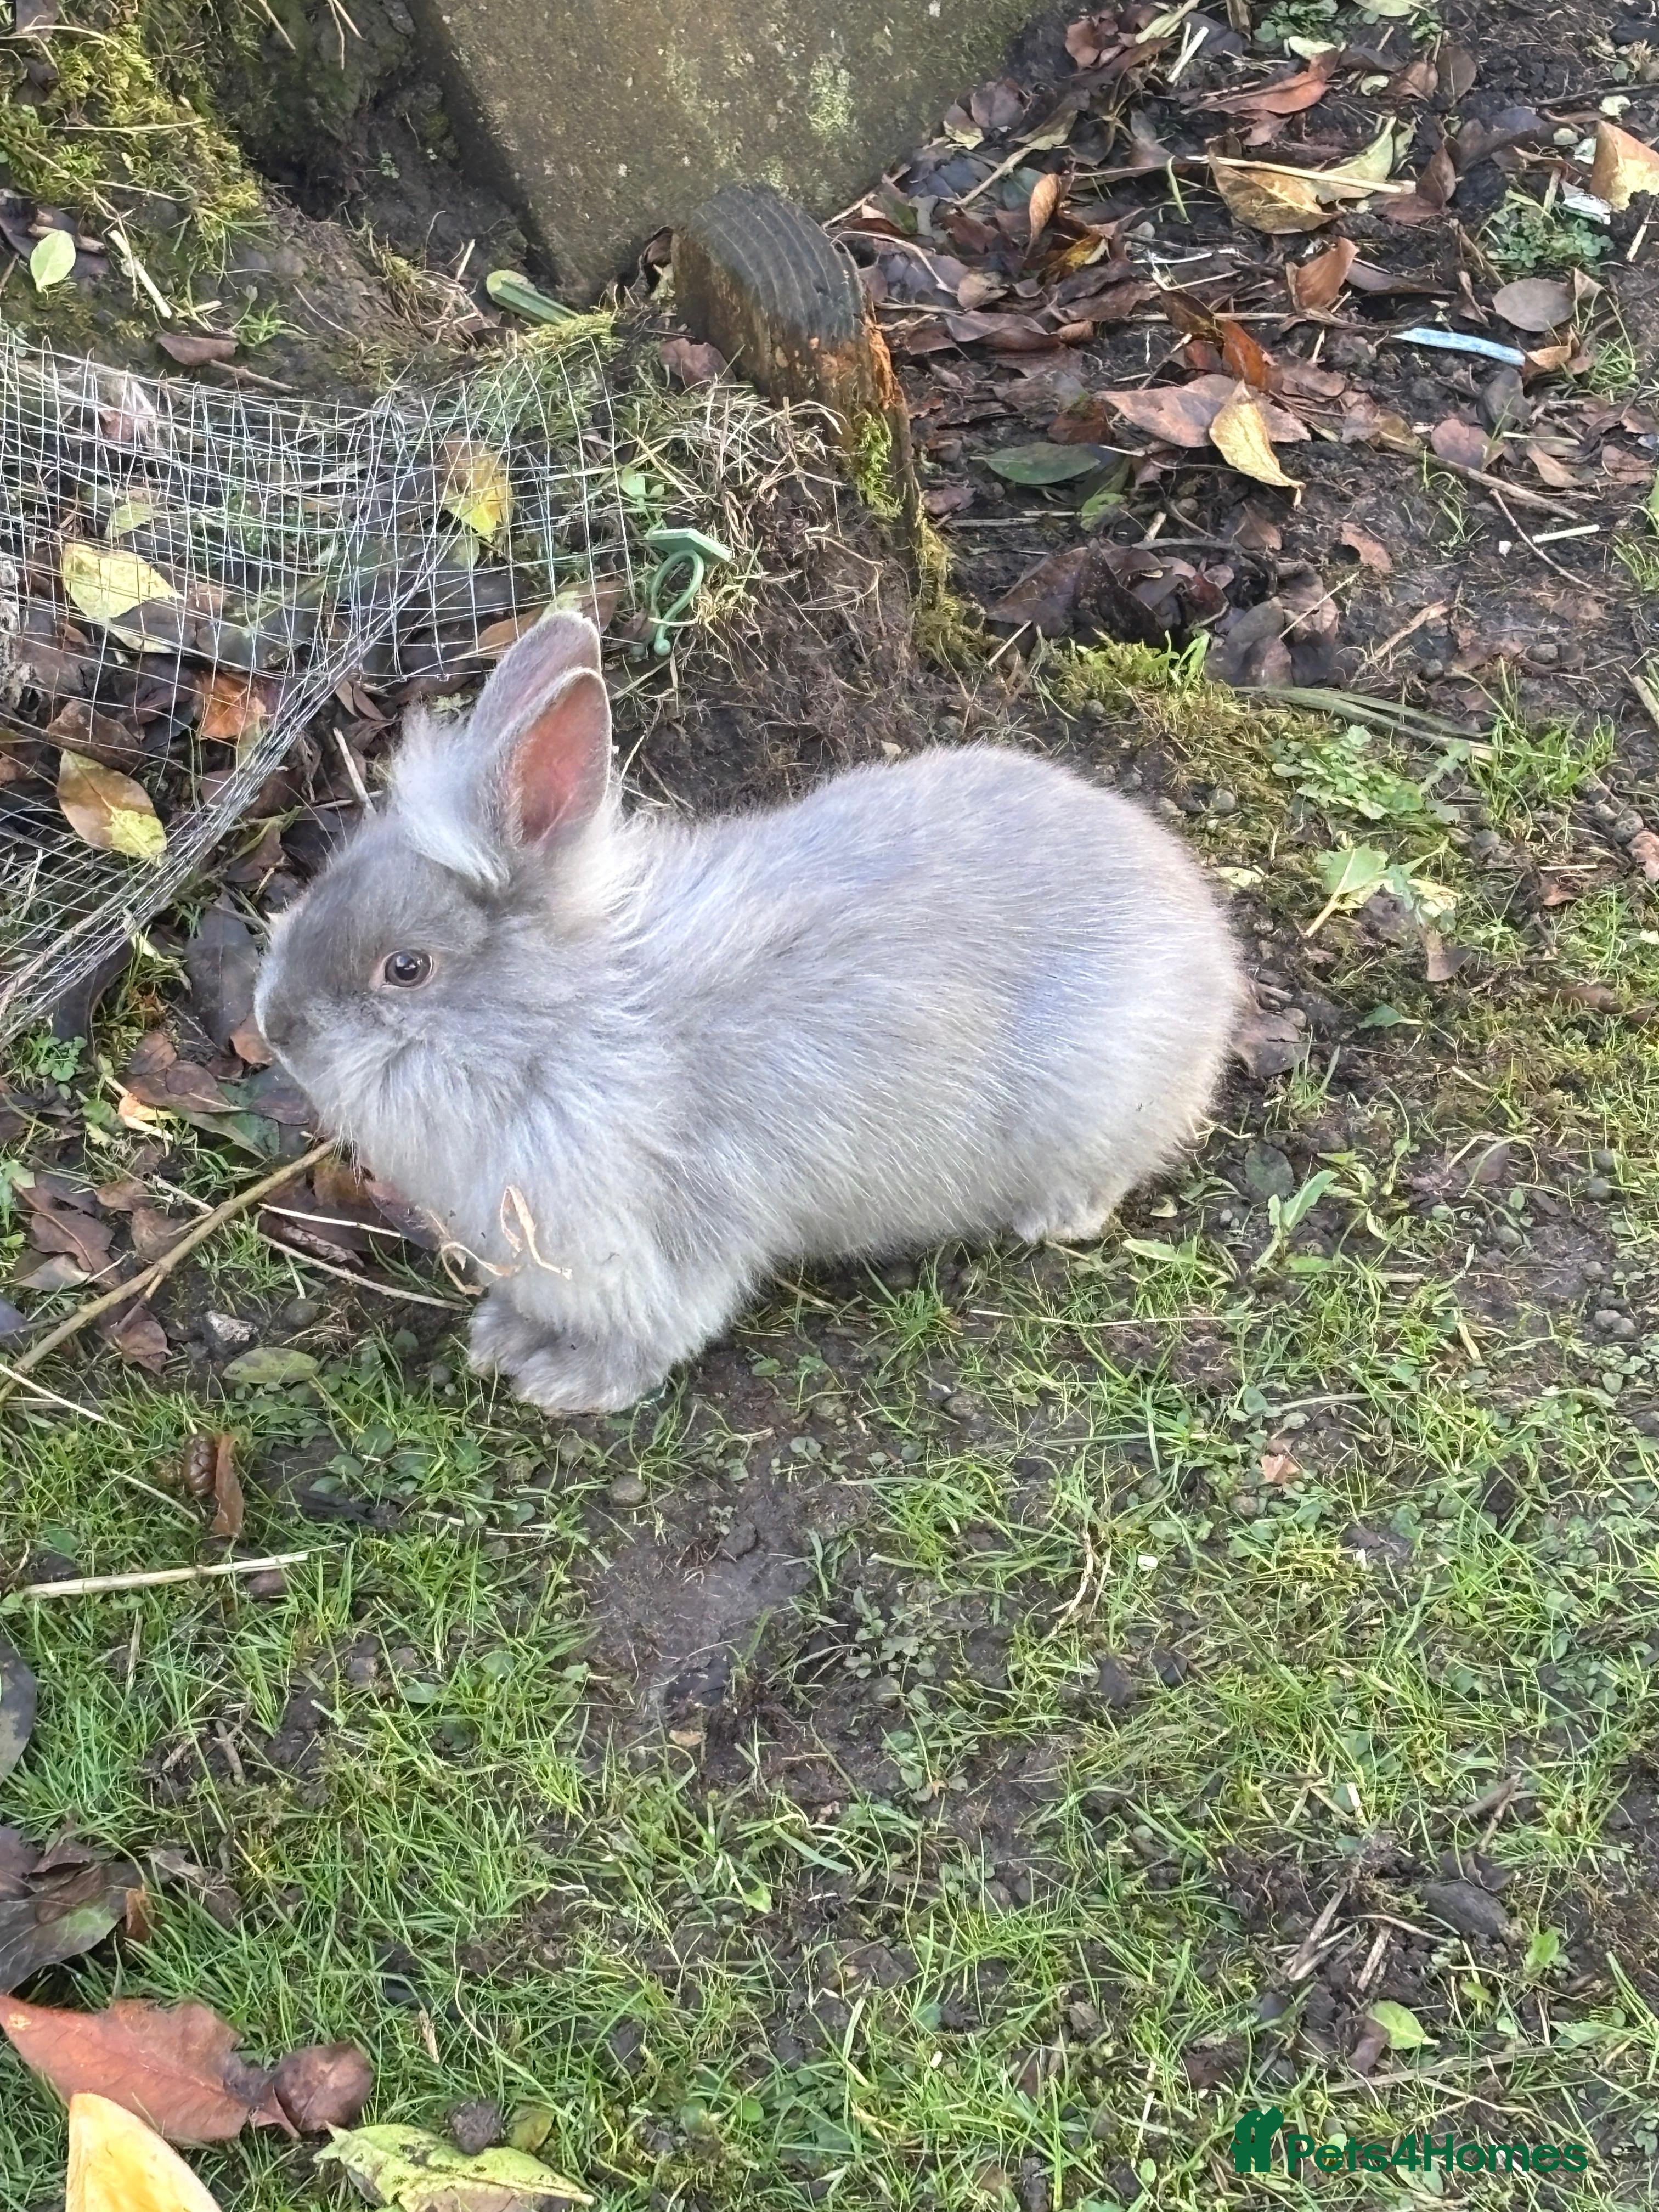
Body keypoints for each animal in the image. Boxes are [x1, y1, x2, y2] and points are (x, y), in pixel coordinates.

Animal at [254, 609, 1245, 1415]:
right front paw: (502, 1338)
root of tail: (1212, 950)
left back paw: (1048, 1218)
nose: (275, 1027)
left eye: (406, 969)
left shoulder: (657, 1243)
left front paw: (568, 1384)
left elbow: (656, 1330)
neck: (558, 1033)